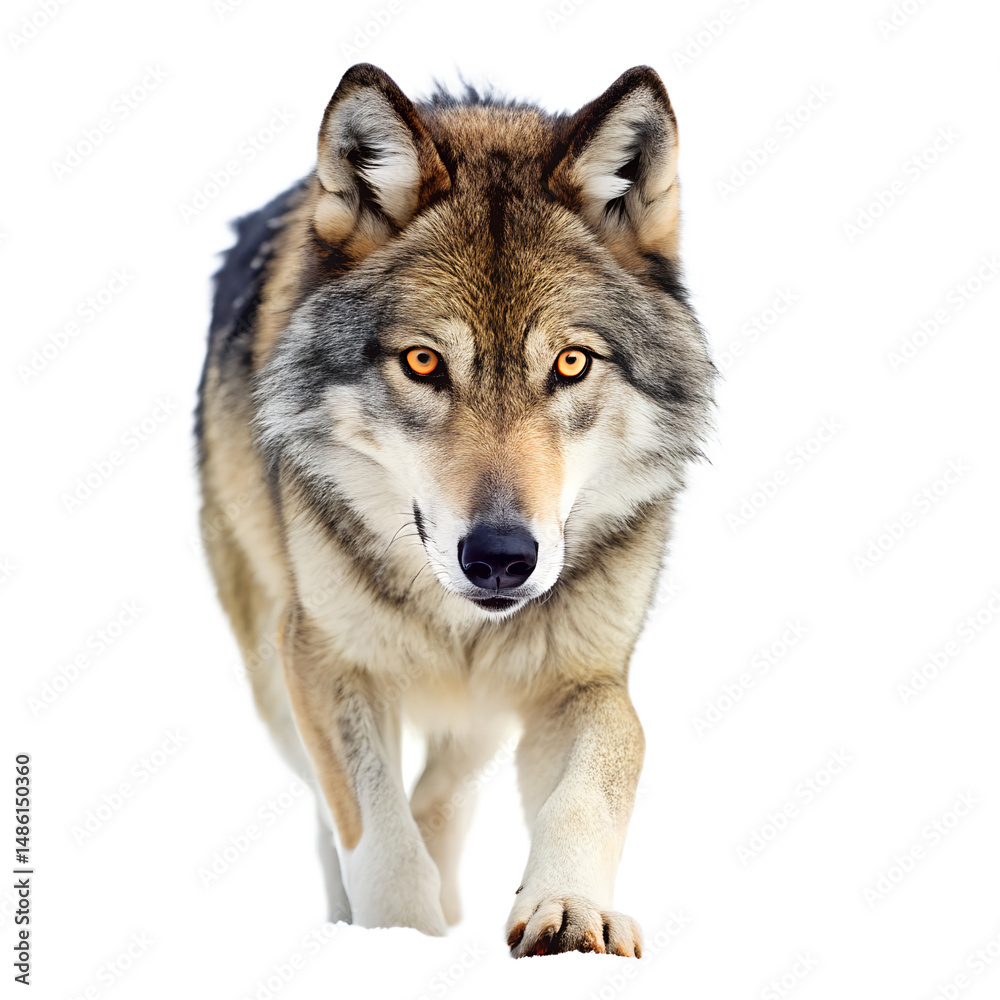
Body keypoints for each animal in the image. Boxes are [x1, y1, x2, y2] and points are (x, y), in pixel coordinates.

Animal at [196, 63, 714, 958]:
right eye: (422, 362)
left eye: (571, 363)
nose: (502, 556)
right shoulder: (324, 659)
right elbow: (378, 837)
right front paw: (399, 939)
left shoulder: (584, 676)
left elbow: (595, 783)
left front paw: (568, 908)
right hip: (269, 666)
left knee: (449, 786)